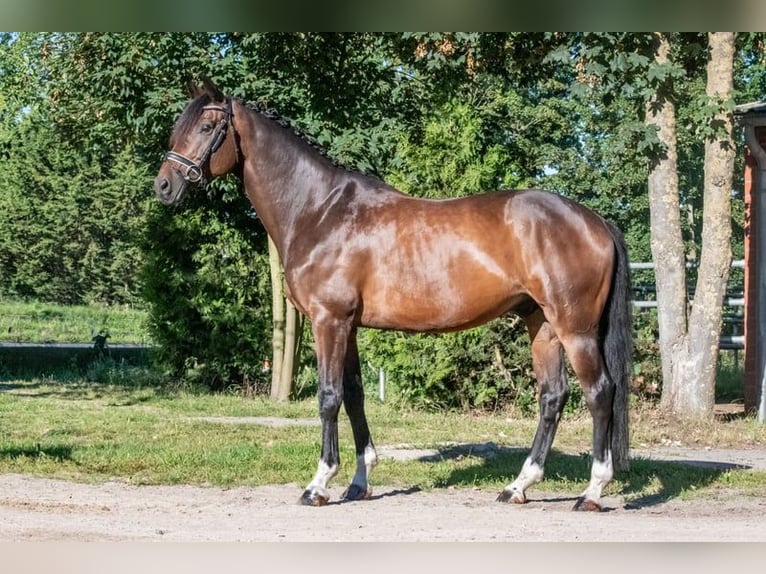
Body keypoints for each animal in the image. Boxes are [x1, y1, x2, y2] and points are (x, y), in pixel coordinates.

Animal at [153, 77, 632, 512]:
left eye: (206, 126)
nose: (164, 187)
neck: (319, 210)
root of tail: (594, 220)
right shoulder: (347, 326)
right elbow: (354, 395)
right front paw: (359, 482)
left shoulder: (328, 320)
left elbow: (328, 397)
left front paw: (319, 484)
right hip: (542, 324)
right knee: (552, 397)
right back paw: (518, 486)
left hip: (575, 329)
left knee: (599, 393)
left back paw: (592, 491)